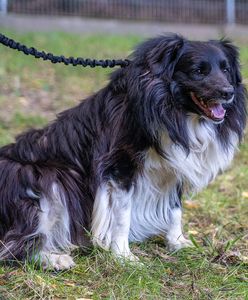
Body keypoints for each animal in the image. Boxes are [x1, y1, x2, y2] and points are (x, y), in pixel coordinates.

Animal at [0, 33, 245, 270]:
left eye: (226, 70)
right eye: (198, 71)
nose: (228, 92)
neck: (172, 109)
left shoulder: (173, 165)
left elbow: (175, 209)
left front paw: (178, 242)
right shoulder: (119, 166)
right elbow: (122, 216)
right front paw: (123, 257)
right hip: (46, 177)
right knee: (14, 243)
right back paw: (52, 259)